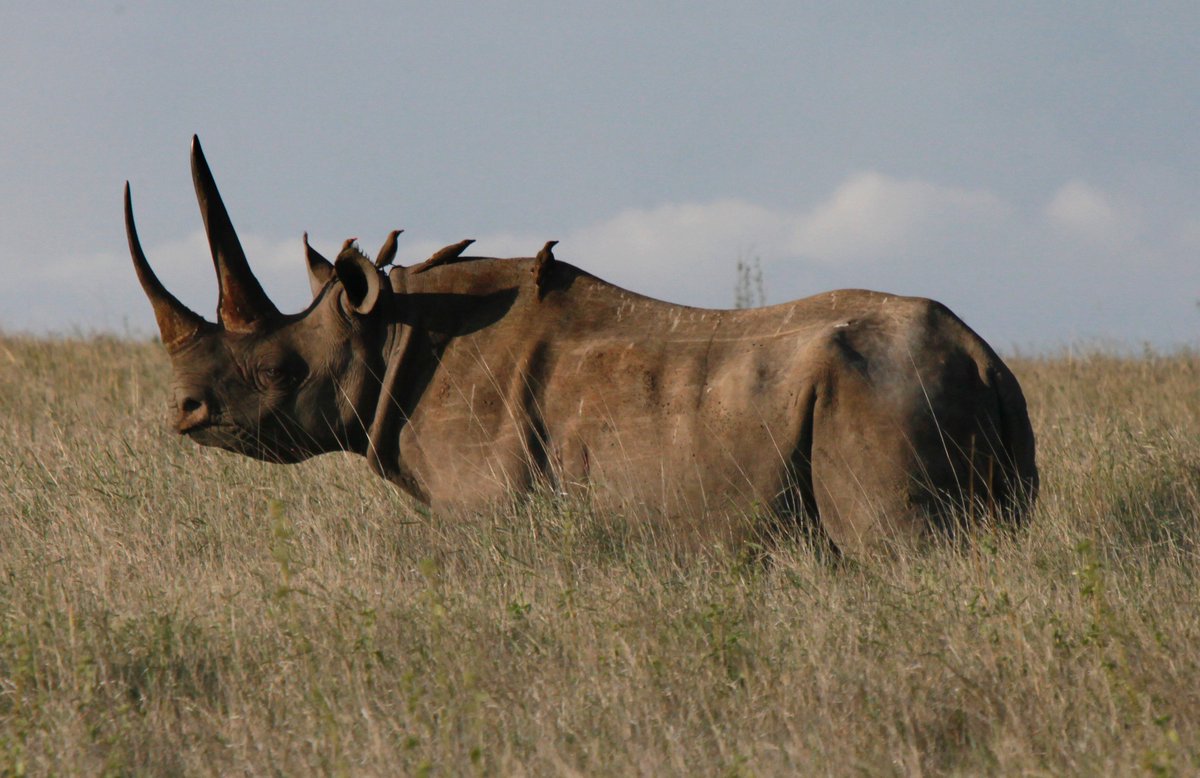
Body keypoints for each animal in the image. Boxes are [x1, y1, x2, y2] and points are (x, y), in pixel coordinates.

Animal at [126, 137, 1037, 554]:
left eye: (277, 370)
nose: (185, 411)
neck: (386, 334)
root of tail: (985, 362)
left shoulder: (486, 510)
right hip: (953, 393)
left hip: (885, 393)